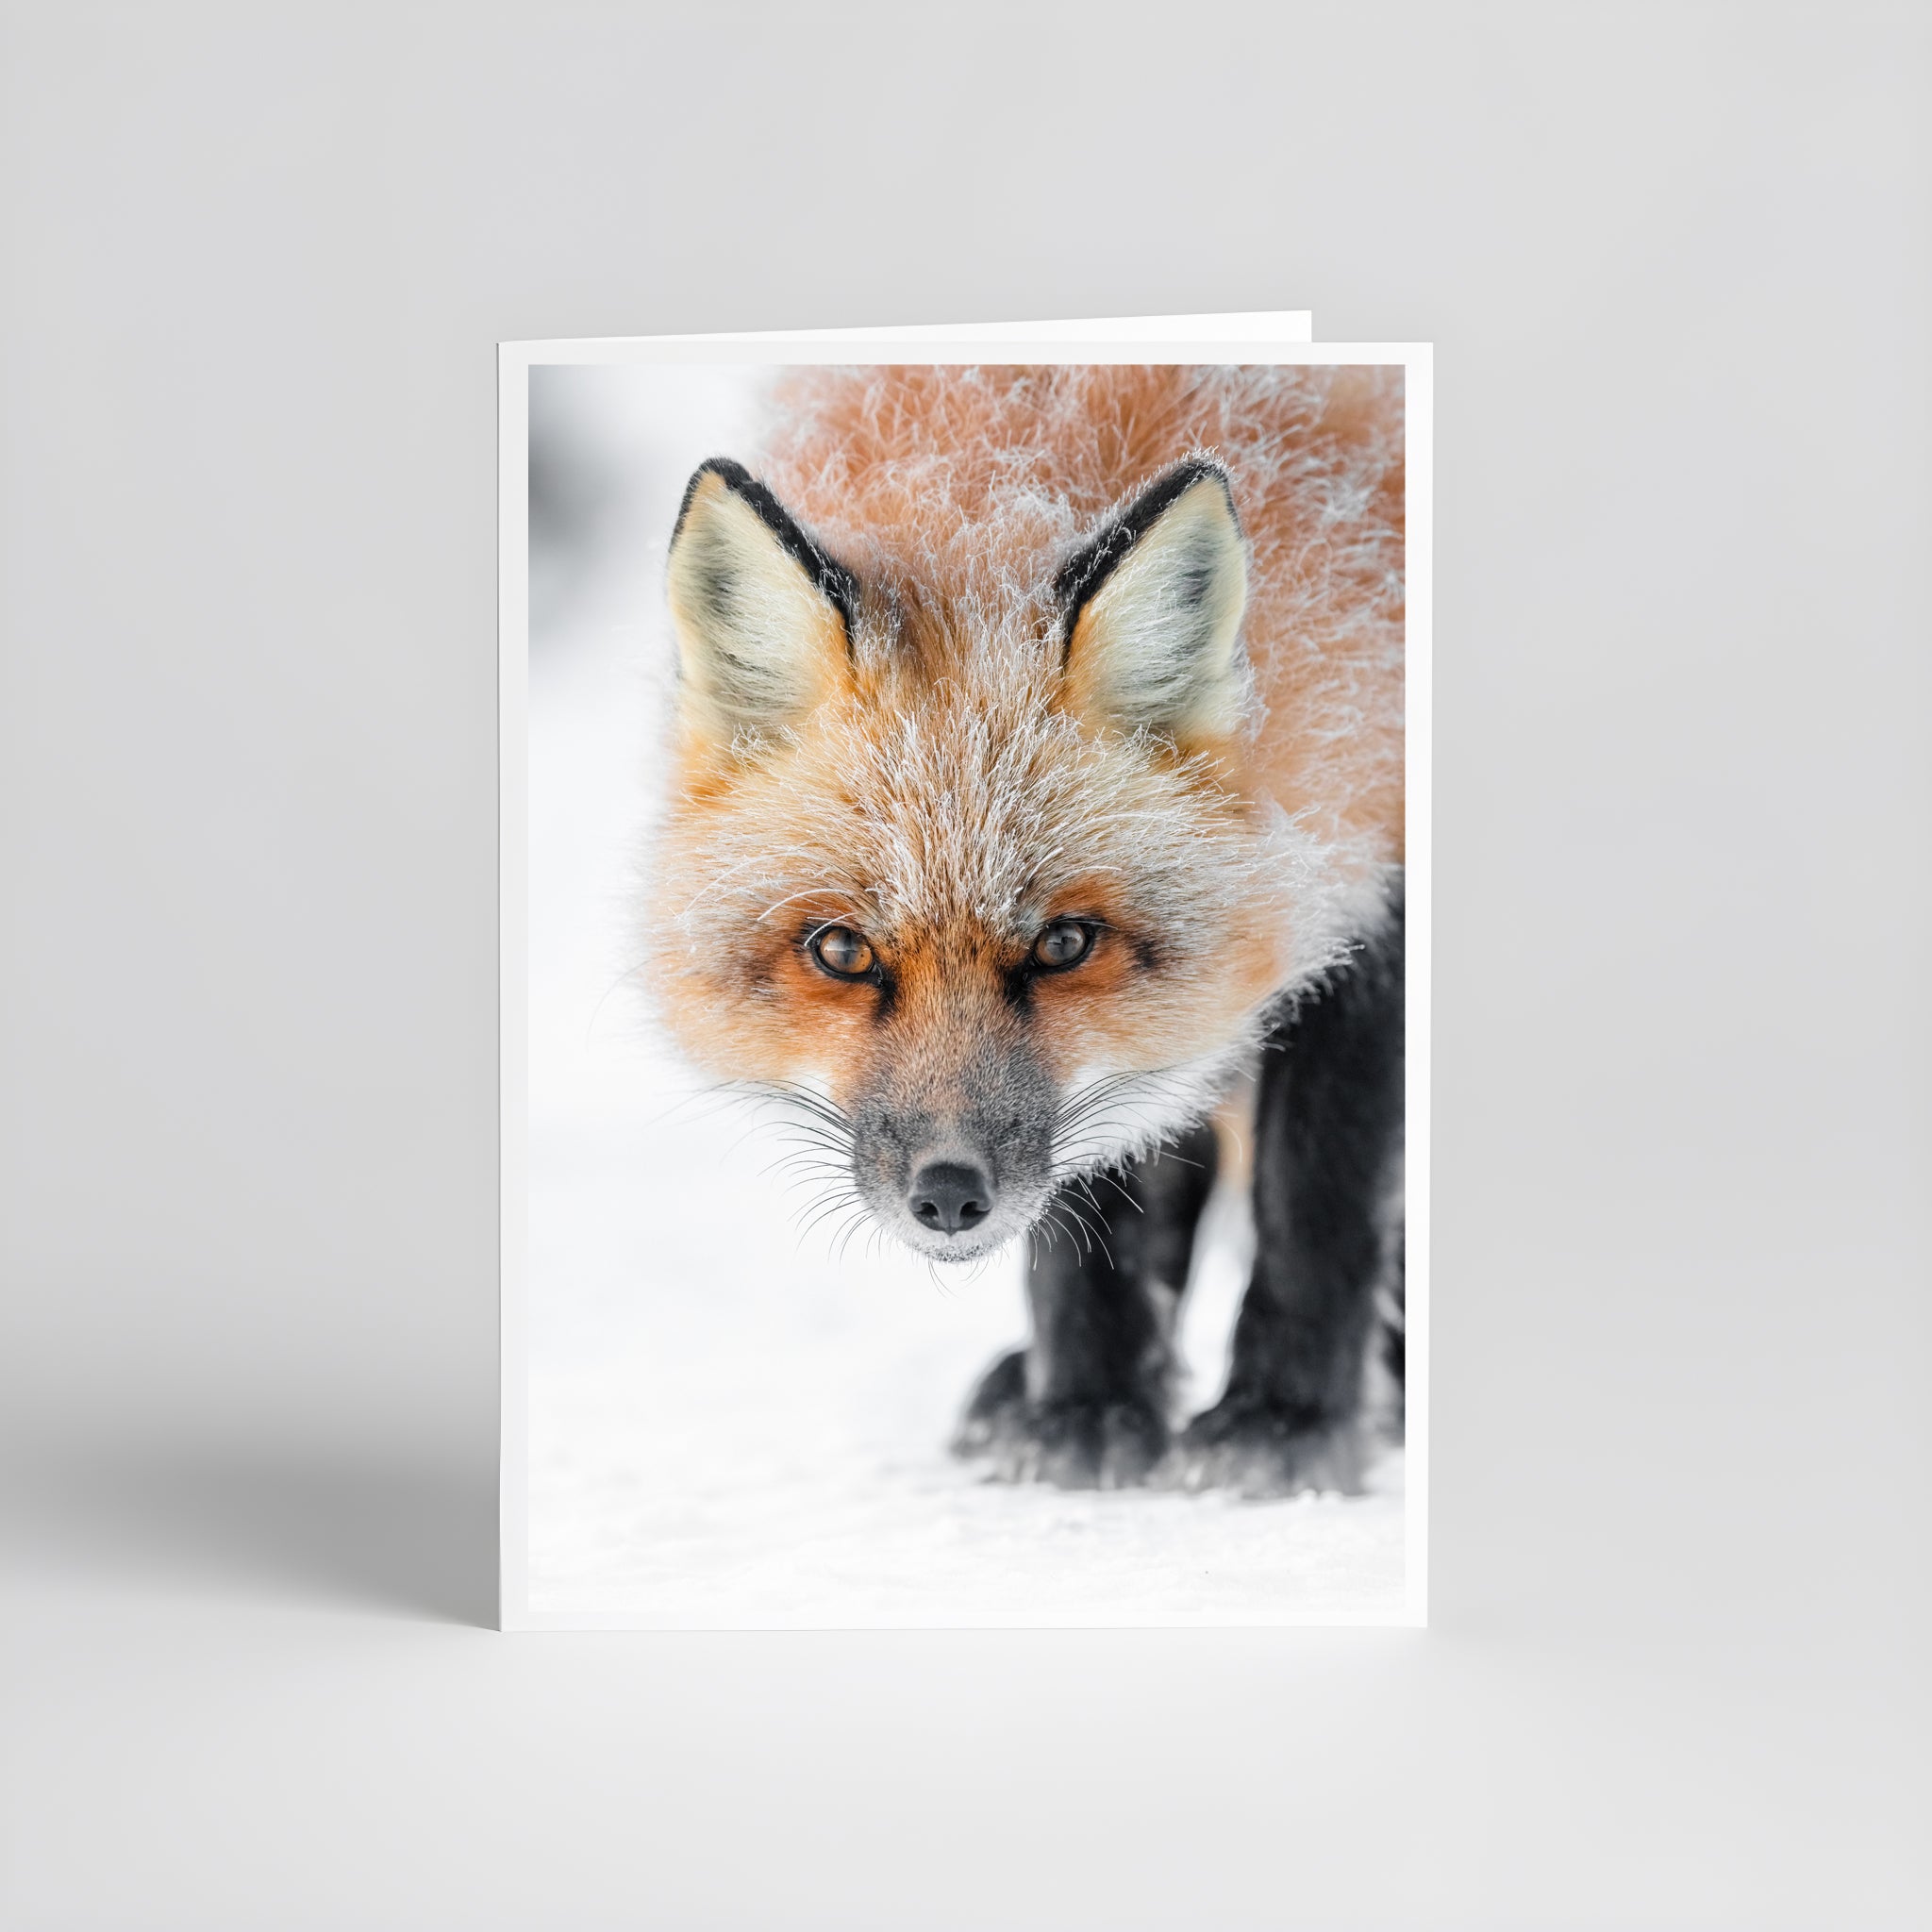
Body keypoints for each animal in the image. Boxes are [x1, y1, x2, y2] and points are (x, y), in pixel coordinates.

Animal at [644, 363, 1405, 1496]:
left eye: (1061, 946)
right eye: (843, 952)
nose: (950, 1197)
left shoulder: (1376, 875)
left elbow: (1315, 1197)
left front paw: (1288, 1419)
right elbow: (1093, 1204)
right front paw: (1086, 1403)